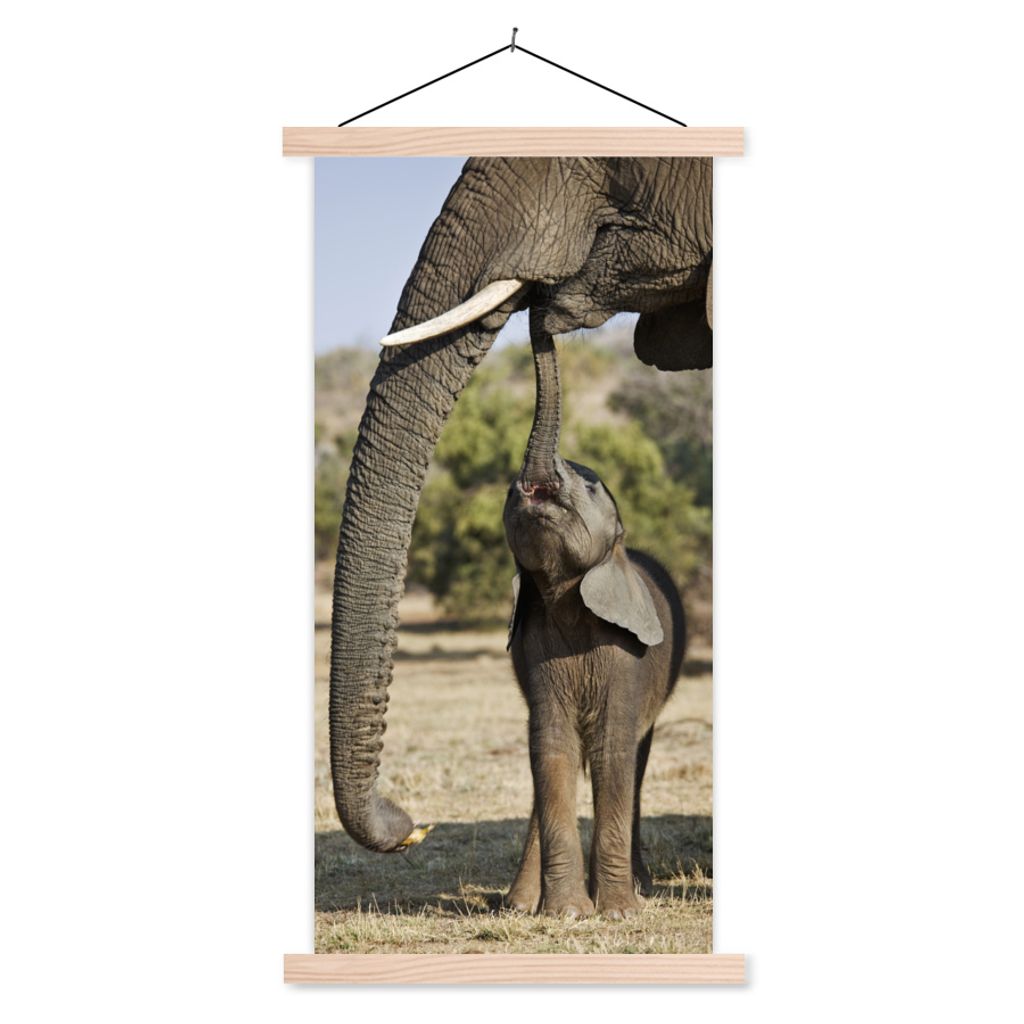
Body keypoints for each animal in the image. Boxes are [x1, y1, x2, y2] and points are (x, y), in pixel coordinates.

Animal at [502, 314, 686, 918]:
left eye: (589, 487)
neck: (566, 595)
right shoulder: (535, 648)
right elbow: (552, 746)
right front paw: (565, 913)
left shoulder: (628, 656)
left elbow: (611, 749)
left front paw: (619, 911)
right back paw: (518, 904)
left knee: (635, 759)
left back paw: (639, 888)